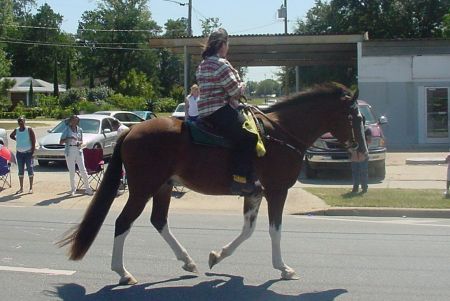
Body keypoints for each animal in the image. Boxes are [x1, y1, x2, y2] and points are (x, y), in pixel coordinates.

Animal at [58, 81, 368, 284]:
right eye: (354, 116)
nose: (362, 151)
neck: (280, 134)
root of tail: (131, 130)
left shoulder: (254, 193)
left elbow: (248, 230)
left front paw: (217, 256)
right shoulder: (276, 191)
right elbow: (274, 230)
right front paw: (283, 268)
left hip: (163, 187)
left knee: (159, 221)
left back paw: (187, 260)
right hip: (143, 189)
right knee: (124, 222)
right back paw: (122, 272)